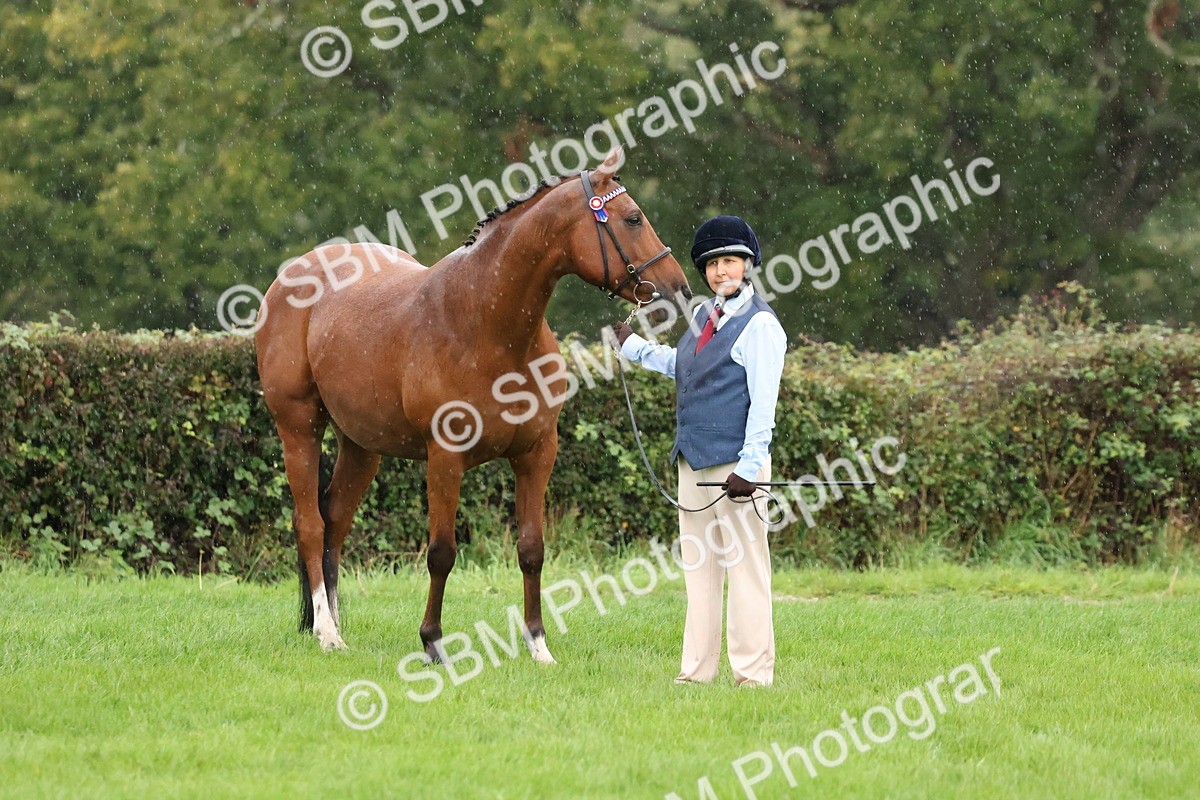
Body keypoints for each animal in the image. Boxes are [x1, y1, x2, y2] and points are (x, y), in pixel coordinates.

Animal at [254, 149, 692, 662]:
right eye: (632, 218)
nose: (678, 288)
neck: (486, 324)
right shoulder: (445, 459)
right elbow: (442, 553)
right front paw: (433, 643)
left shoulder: (537, 455)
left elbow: (531, 550)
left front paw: (538, 645)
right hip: (298, 427)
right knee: (310, 524)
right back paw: (326, 631)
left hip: (362, 446)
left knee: (335, 523)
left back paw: (335, 628)